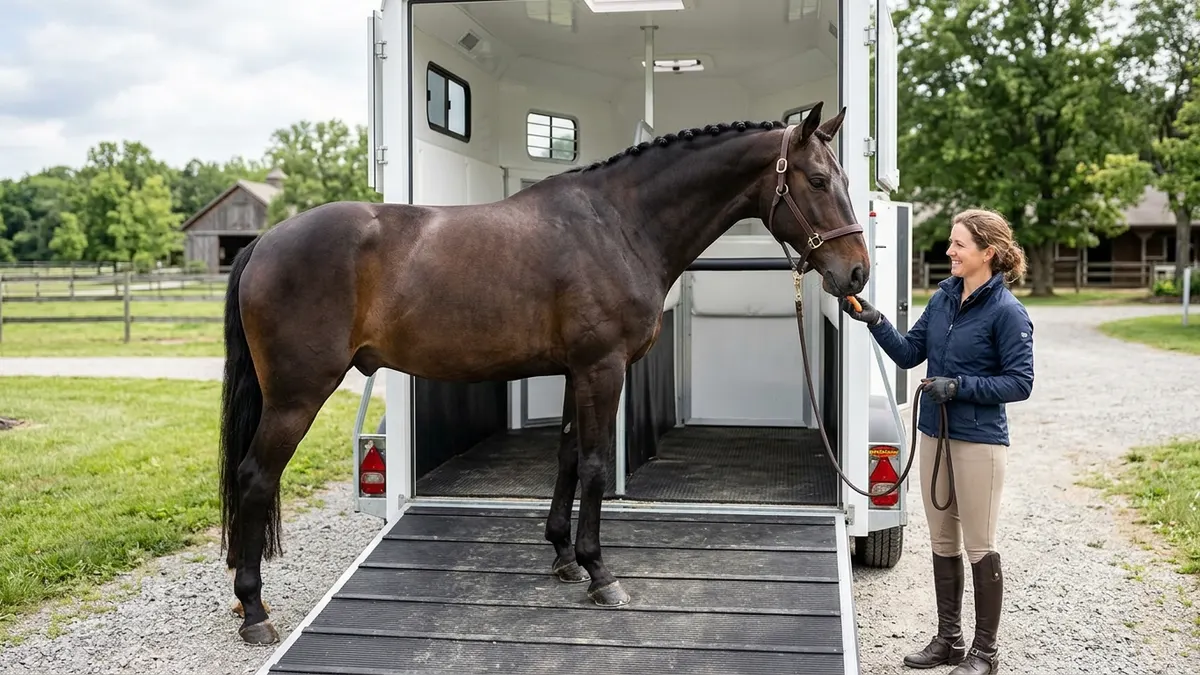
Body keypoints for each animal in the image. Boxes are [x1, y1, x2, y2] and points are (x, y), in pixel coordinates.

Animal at [218, 101, 871, 644]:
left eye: (844, 180)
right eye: (817, 181)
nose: (859, 273)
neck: (619, 225)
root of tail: (264, 242)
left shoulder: (574, 372)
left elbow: (568, 458)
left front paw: (562, 556)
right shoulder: (602, 369)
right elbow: (598, 464)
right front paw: (600, 573)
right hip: (297, 396)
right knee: (255, 478)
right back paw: (255, 612)